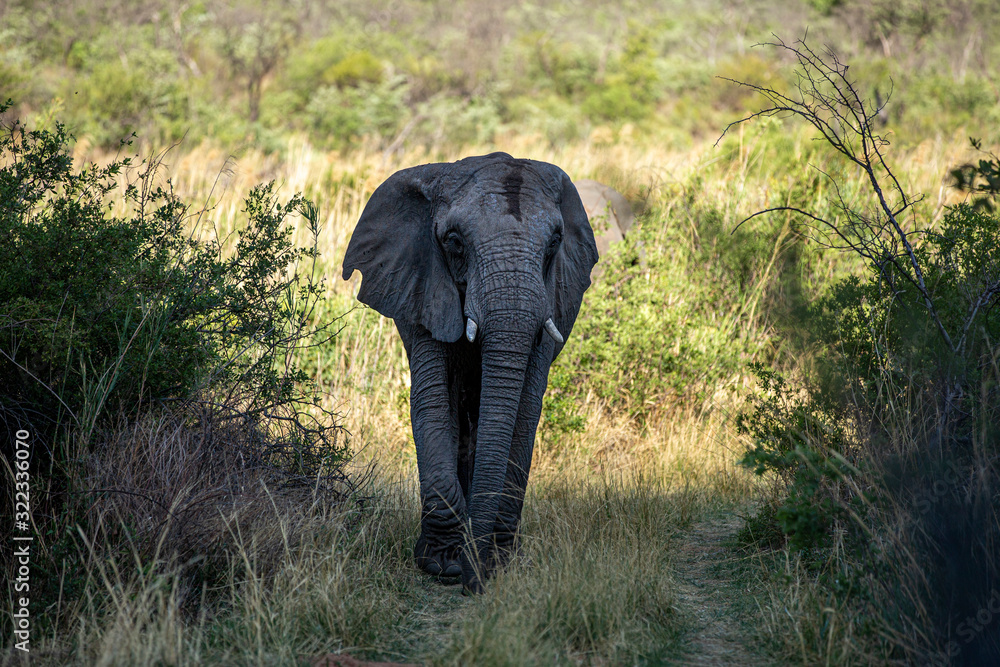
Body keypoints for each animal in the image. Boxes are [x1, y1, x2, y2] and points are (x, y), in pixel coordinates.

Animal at [342, 152, 598, 593]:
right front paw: (443, 566)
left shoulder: (551, 295)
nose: (473, 583)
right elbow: (433, 400)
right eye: (454, 242)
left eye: (554, 243)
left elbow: (525, 409)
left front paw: (497, 561)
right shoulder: (423, 282)